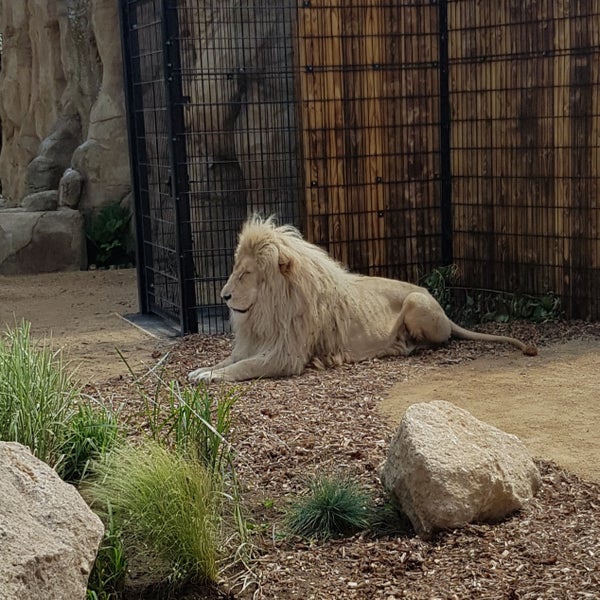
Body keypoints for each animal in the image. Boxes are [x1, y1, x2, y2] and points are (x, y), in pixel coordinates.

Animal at [190, 218, 536, 382]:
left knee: (434, 343)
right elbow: (230, 360)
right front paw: (202, 369)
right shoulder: (257, 344)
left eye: (246, 273)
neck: (264, 312)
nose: (223, 296)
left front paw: (210, 376)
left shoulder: (286, 356)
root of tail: (434, 299)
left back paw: (398, 346)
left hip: (415, 303)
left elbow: (243, 367)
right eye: (235, 269)